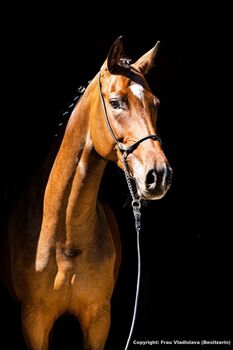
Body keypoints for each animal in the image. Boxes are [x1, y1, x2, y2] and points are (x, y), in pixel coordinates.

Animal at [0, 37, 172, 348]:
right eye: (115, 103)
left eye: (155, 104)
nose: (159, 175)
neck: (66, 240)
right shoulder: (34, 321)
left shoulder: (98, 319)